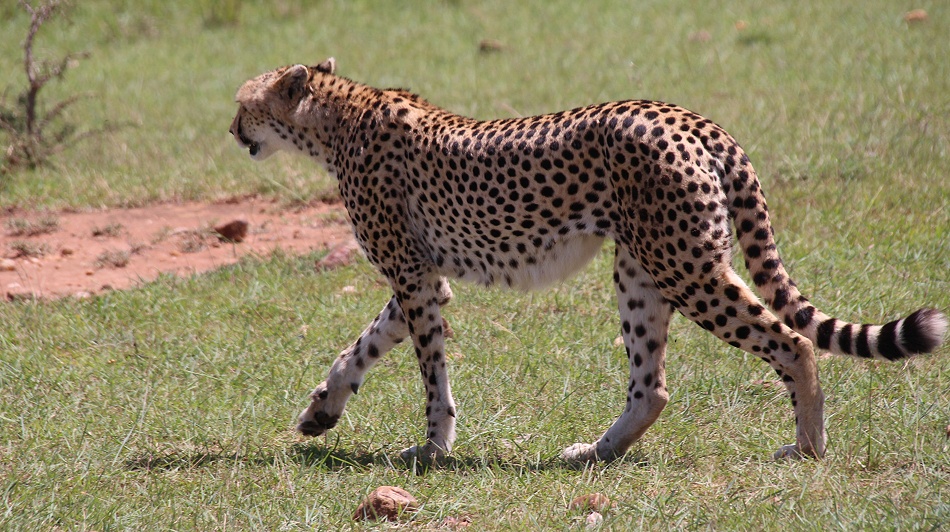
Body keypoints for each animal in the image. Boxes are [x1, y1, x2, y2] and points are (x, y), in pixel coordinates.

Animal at [229, 57, 947, 463]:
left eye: (243, 104)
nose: (233, 131)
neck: (337, 115)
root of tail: (691, 117)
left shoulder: (412, 275)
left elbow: (430, 373)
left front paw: (433, 447)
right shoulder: (426, 278)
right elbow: (365, 344)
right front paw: (322, 412)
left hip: (685, 265)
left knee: (792, 342)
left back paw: (807, 447)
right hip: (641, 270)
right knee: (652, 386)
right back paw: (594, 452)